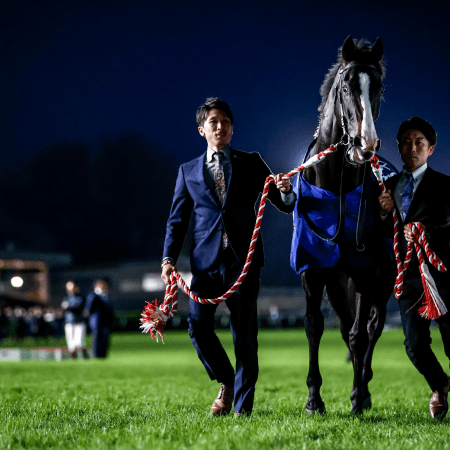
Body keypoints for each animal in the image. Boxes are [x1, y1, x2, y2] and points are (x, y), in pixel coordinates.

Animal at [290, 36, 396, 415]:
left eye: (378, 86)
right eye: (347, 86)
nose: (366, 145)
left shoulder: (366, 270)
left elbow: (360, 334)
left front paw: (356, 396)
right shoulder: (314, 268)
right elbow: (314, 326)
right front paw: (313, 399)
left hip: (383, 278)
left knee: (372, 327)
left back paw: (362, 390)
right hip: (337, 285)